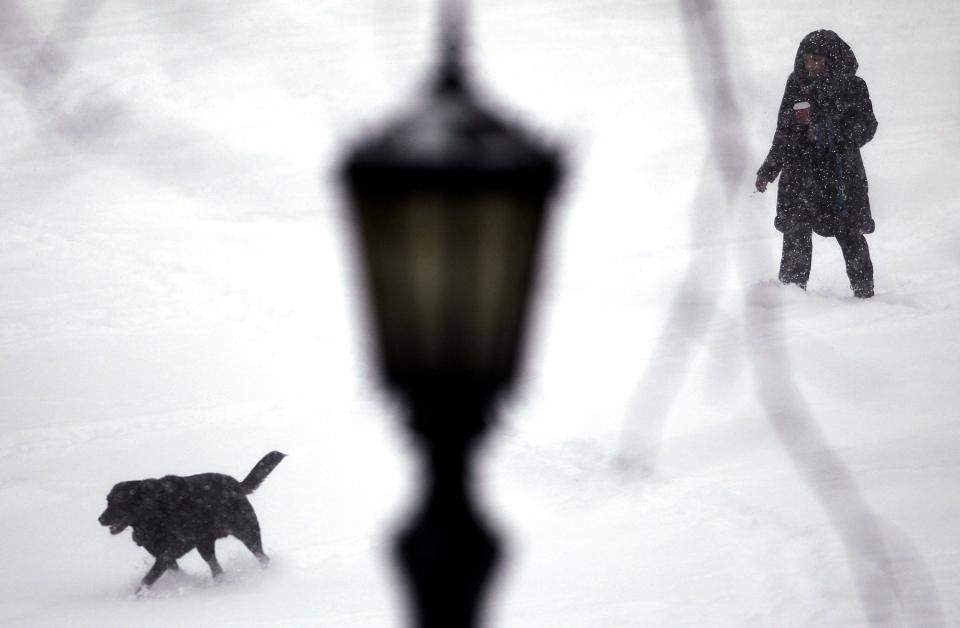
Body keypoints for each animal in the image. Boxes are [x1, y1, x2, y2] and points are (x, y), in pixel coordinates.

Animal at [99, 448, 284, 592]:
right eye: (108, 501)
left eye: (118, 503)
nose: (100, 519)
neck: (152, 511)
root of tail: (236, 484)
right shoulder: (166, 558)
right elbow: (169, 573)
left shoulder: (166, 555)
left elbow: (147, 580)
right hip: (205, 545)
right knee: (217, 570)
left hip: (247, 532)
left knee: (262, 557)